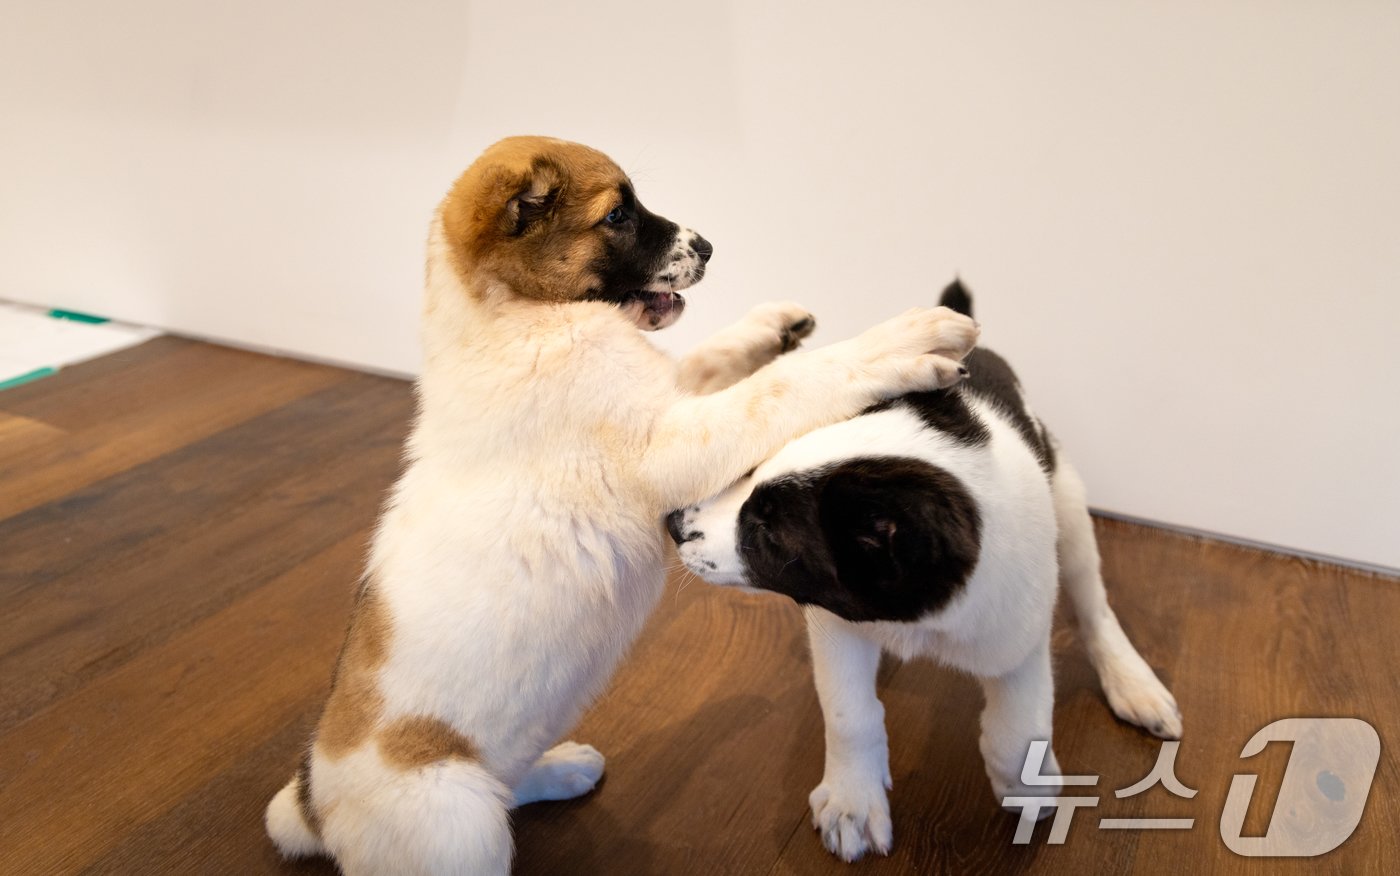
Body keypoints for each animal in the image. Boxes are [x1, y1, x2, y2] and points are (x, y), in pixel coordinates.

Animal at [267, 137, 980, 873]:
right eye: (618, 215)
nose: (711, 246)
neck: (513, 315)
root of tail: (316, 807)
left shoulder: (669, 392)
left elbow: (714, 356)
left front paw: (773, 325)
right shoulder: (669, 444)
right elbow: (788, 385)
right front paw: (899, 343)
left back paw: (560, 768)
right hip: (457, 823)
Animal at [666, 281, 1181, 862]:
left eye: (768, 533)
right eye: (752, 469)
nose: (673, 523)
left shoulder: (1017, 632)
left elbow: (1018, 727)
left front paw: (1026, 784)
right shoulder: (836, 625)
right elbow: (849, 713)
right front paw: (852, 800)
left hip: (1069, 506)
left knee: (1093, 603)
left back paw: (1132, 681)